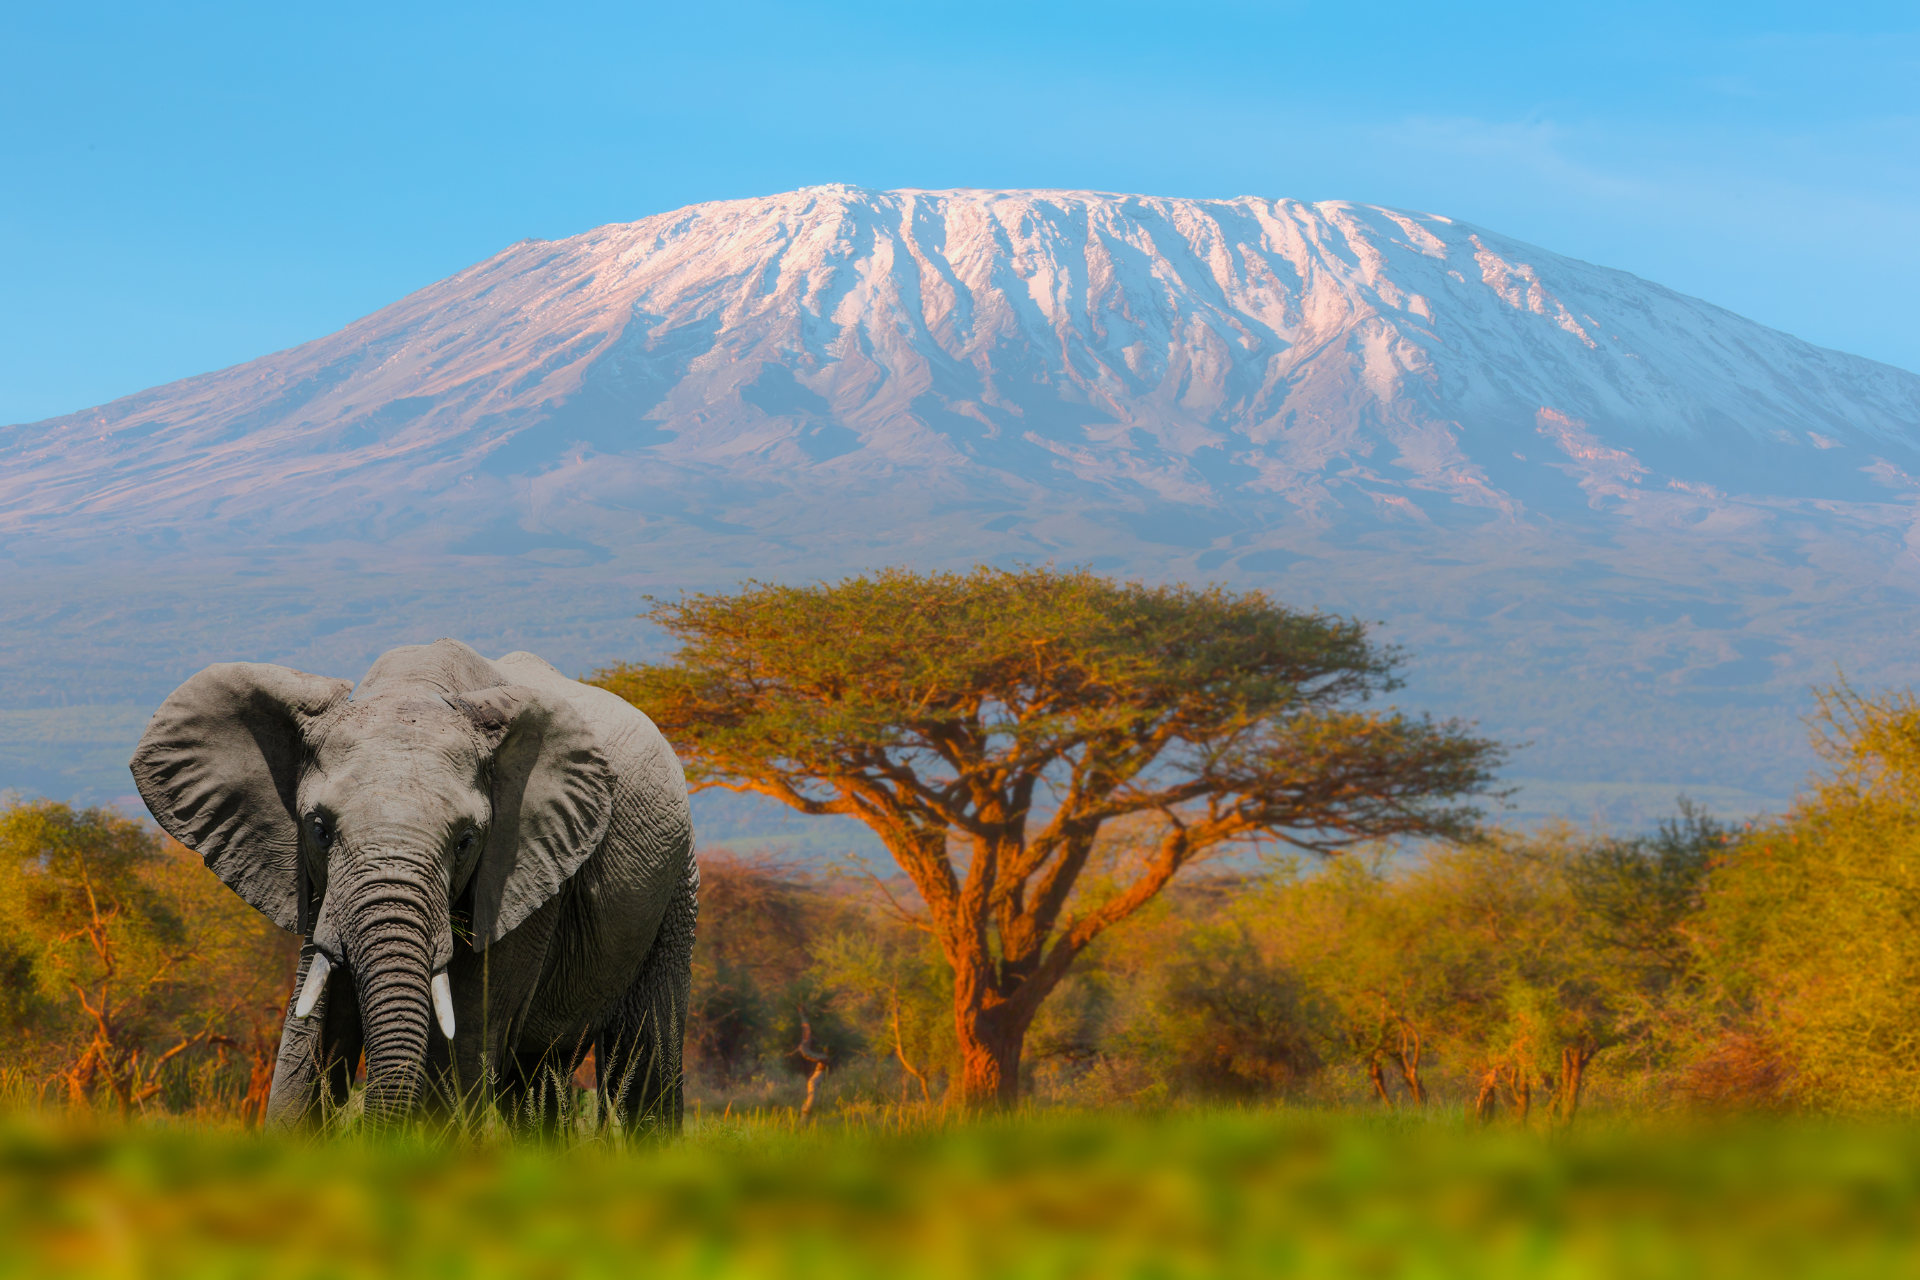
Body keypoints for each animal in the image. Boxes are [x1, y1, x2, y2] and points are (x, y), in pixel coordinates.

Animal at [128, 638, 696, 1131]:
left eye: (466, 841)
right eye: (319, 829)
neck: (416, 688)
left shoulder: (524, 877)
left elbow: (461, 1044)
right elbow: (309, 1039)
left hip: (676, 879)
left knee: (644, 1060)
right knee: (537, 1081)